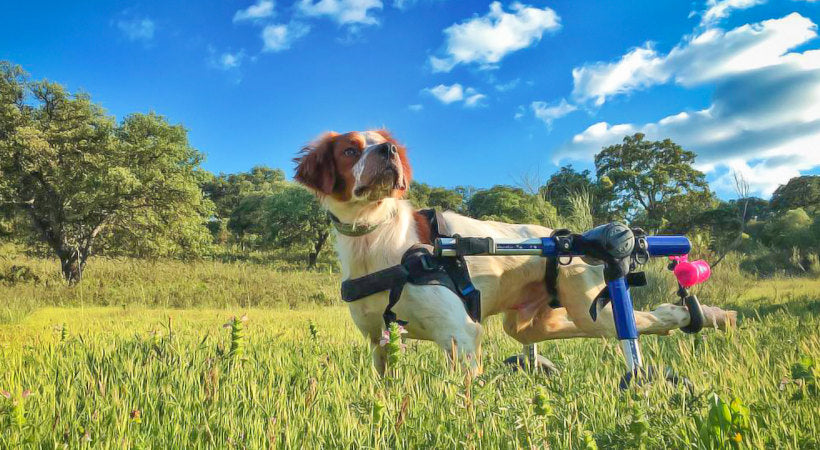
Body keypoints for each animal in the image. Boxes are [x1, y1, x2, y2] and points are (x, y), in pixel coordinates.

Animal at [294, 128, 736, 374]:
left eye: (385, 144)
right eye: (350, 150)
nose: (387, 152)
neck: (374, 237)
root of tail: (570, 238)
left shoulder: (461, 334)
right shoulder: (379, 342)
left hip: (596, 307)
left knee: (652, 319)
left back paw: (705, 315)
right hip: (534, 322)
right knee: (568, 331)